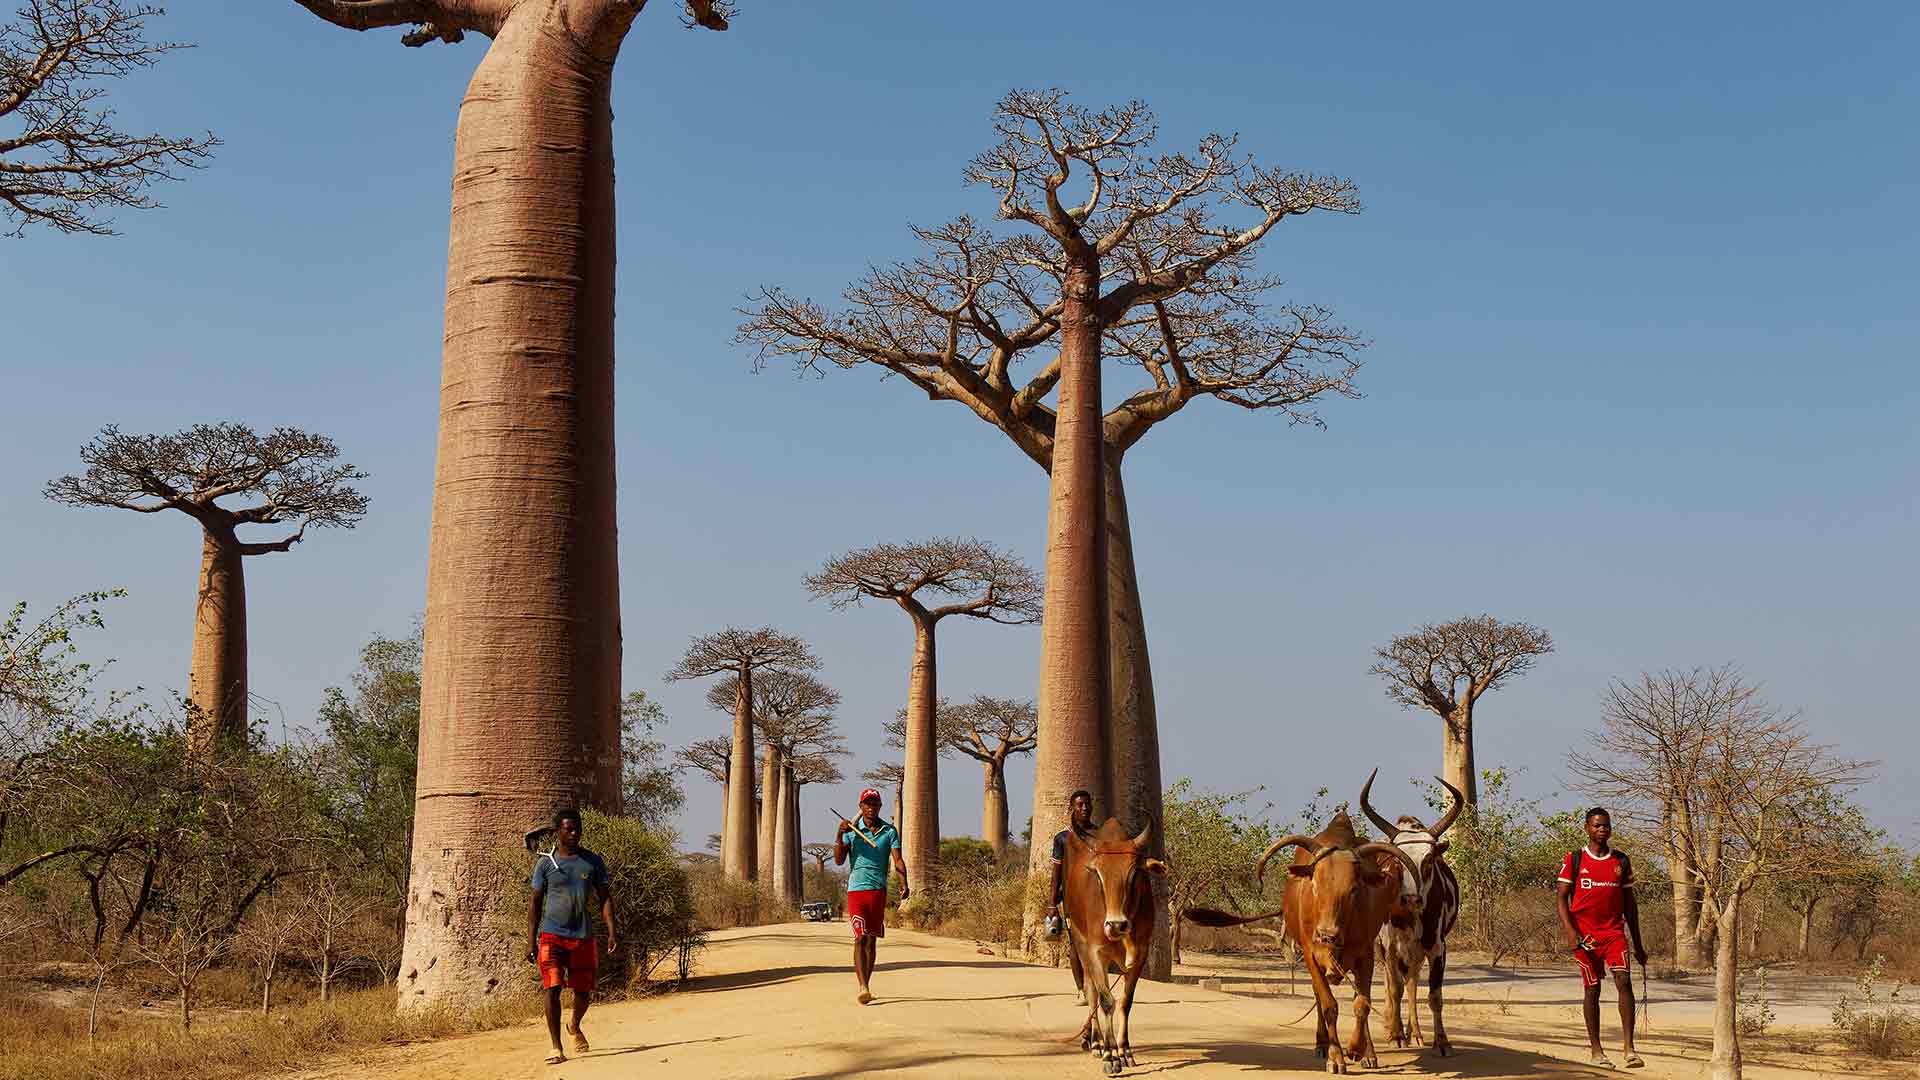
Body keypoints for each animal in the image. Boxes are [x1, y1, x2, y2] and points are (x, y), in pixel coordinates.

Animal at [1059, 814, 1159, 1068]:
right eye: (1098, 874)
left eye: (1134, 874)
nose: (1115, 925)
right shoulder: (1095, 952)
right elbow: (1106, 1001)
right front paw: (1110, 1054)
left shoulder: (1140, 955)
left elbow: (1125, 1002)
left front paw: (1125, 1051)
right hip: (1080, 944)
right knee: (1091, 992)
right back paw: (1095, 1042)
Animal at [1190, 807, 1420, 1068]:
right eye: (1315, 884)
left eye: (1354, 889)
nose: (1326, 934)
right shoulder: (1311, 956)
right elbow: (1329, 1005)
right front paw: (1335, 1056)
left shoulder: (1365, 956)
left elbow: (1362, 1004)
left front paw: (1358, 1049)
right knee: (1319, 999)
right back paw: (1322, 1044)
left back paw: (1367, 1053)